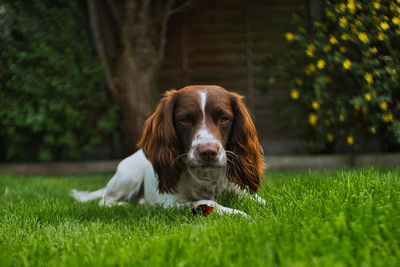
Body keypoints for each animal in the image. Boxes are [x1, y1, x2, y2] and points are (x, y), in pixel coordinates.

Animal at [70, 86, 268, 218]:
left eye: (224, 118)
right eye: (185, 119)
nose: (208, 152)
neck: (206, 177)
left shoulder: (239, 190)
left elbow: (262, 200)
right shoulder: (169, 203)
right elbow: (208, 202)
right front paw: (237, 213)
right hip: (128, 175)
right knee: (105, 200)